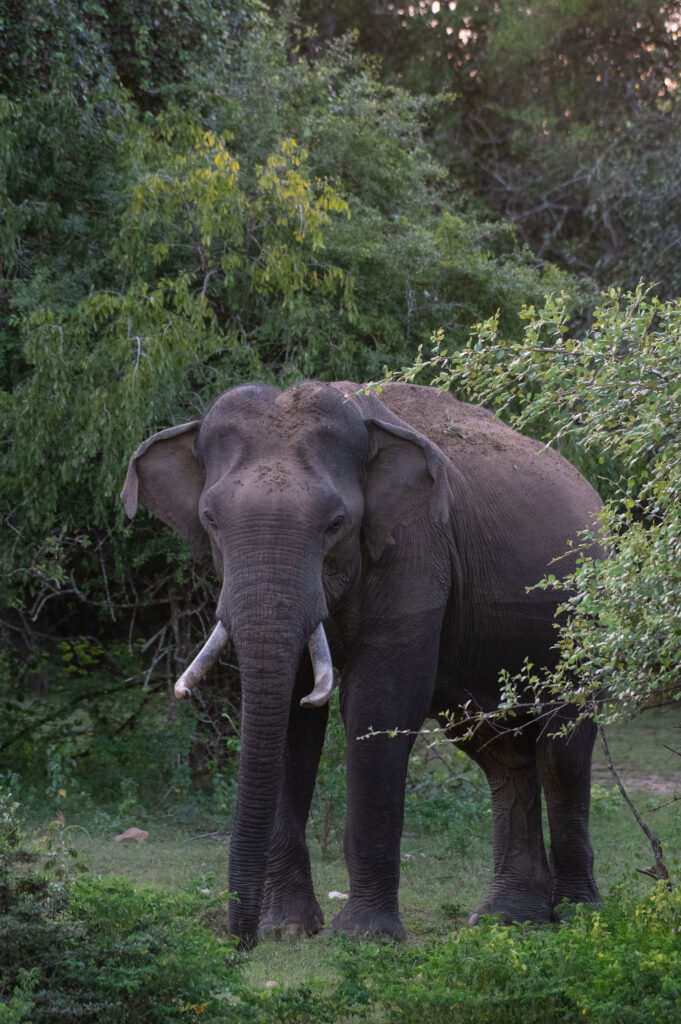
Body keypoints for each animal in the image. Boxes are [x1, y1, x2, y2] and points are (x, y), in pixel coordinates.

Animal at [119, 380, 602, 946]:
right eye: (209, 520)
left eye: (336, 523)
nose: (240, 943)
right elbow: (291, 721)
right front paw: (287, 929)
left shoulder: (416, 548)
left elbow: (379, 705)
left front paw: (364, 937)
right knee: (503, 755)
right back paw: (506, 919)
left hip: (583, 622)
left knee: (561, 752)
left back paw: (579, 917)